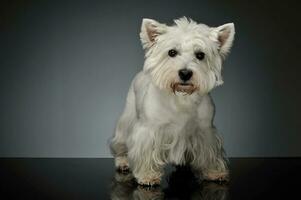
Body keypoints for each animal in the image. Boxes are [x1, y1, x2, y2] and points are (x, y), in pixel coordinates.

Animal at [110, 16, 234, 186]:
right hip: (127, 118)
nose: (185, 73)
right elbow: (145, 152)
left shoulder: (205, 131)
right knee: (121, 143)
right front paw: (148, 175)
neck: (181, 97)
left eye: (200, 55)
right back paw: (122, 161)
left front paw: (214, 171)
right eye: (172, 52)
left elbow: (209, 152)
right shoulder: (148, 130)